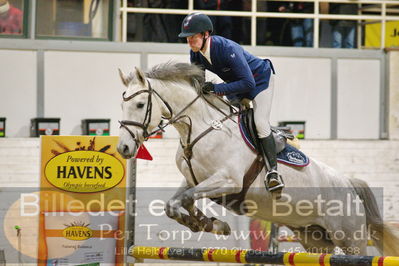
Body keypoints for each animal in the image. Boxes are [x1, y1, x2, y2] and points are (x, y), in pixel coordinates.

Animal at [115, 61, 399, 256]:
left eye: (140, 105)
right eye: (122, 105)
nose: (124, 148)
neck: (199, 128)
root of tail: (350, 185)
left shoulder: (228, 181)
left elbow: (184, 199)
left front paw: (211, 224)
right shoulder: (193, 180)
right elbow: (174, 202)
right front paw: (208, 224)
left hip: (350, 239)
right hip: (315, 240)